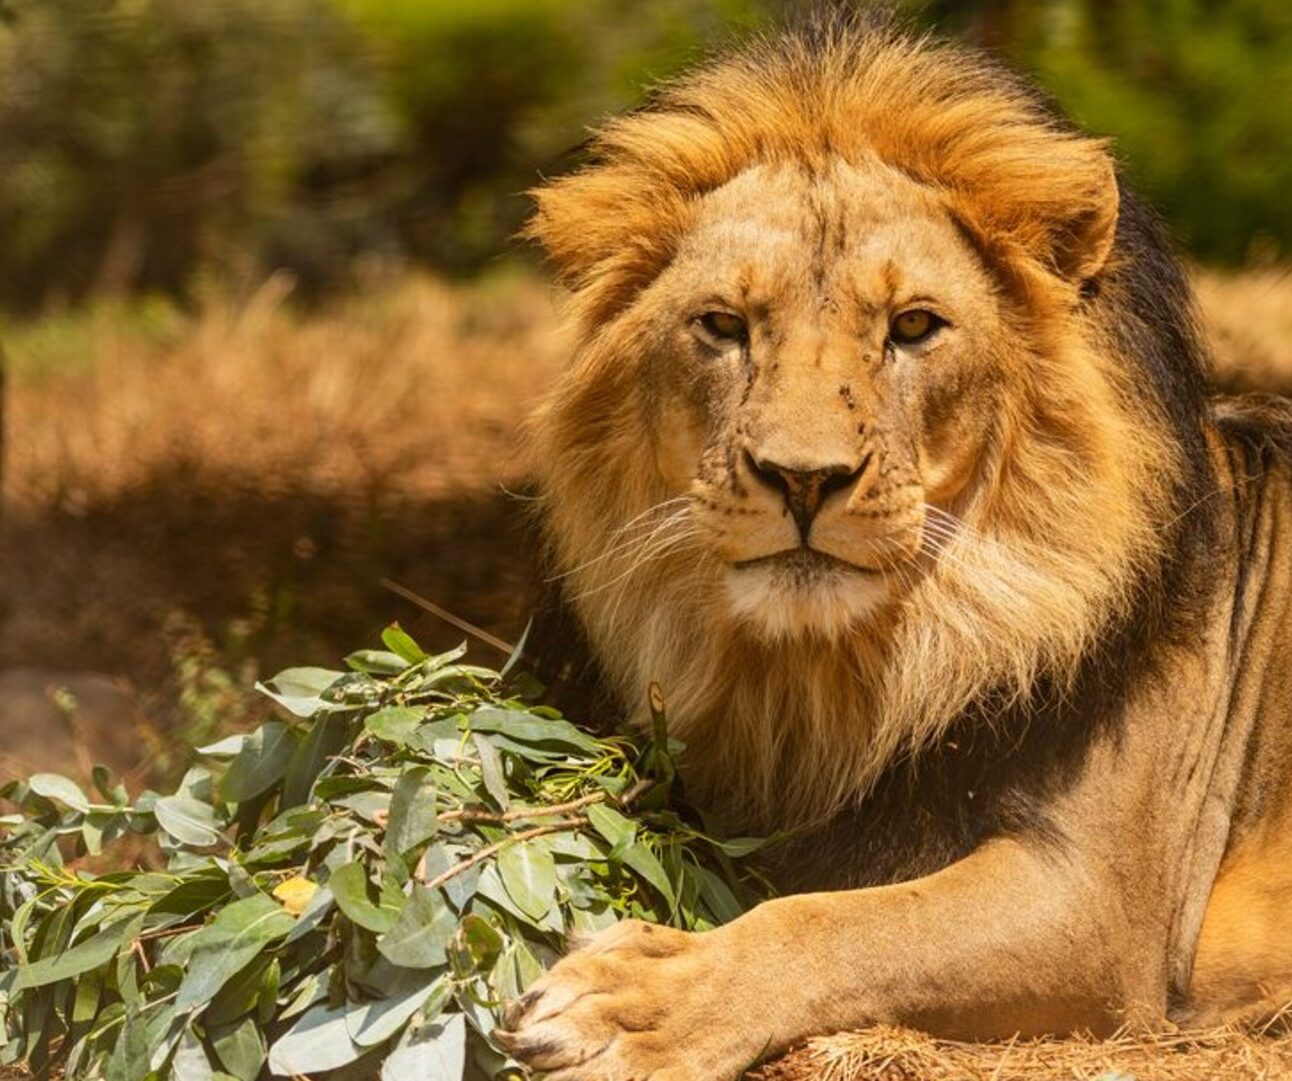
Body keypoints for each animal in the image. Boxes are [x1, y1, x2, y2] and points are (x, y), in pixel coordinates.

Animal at [497, 13, 1292, 1080]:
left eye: (914, 326)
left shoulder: (1103, 907)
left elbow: (836, 920)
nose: (802, 478)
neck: (824, 686)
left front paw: (636, 1004)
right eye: (723, 325)